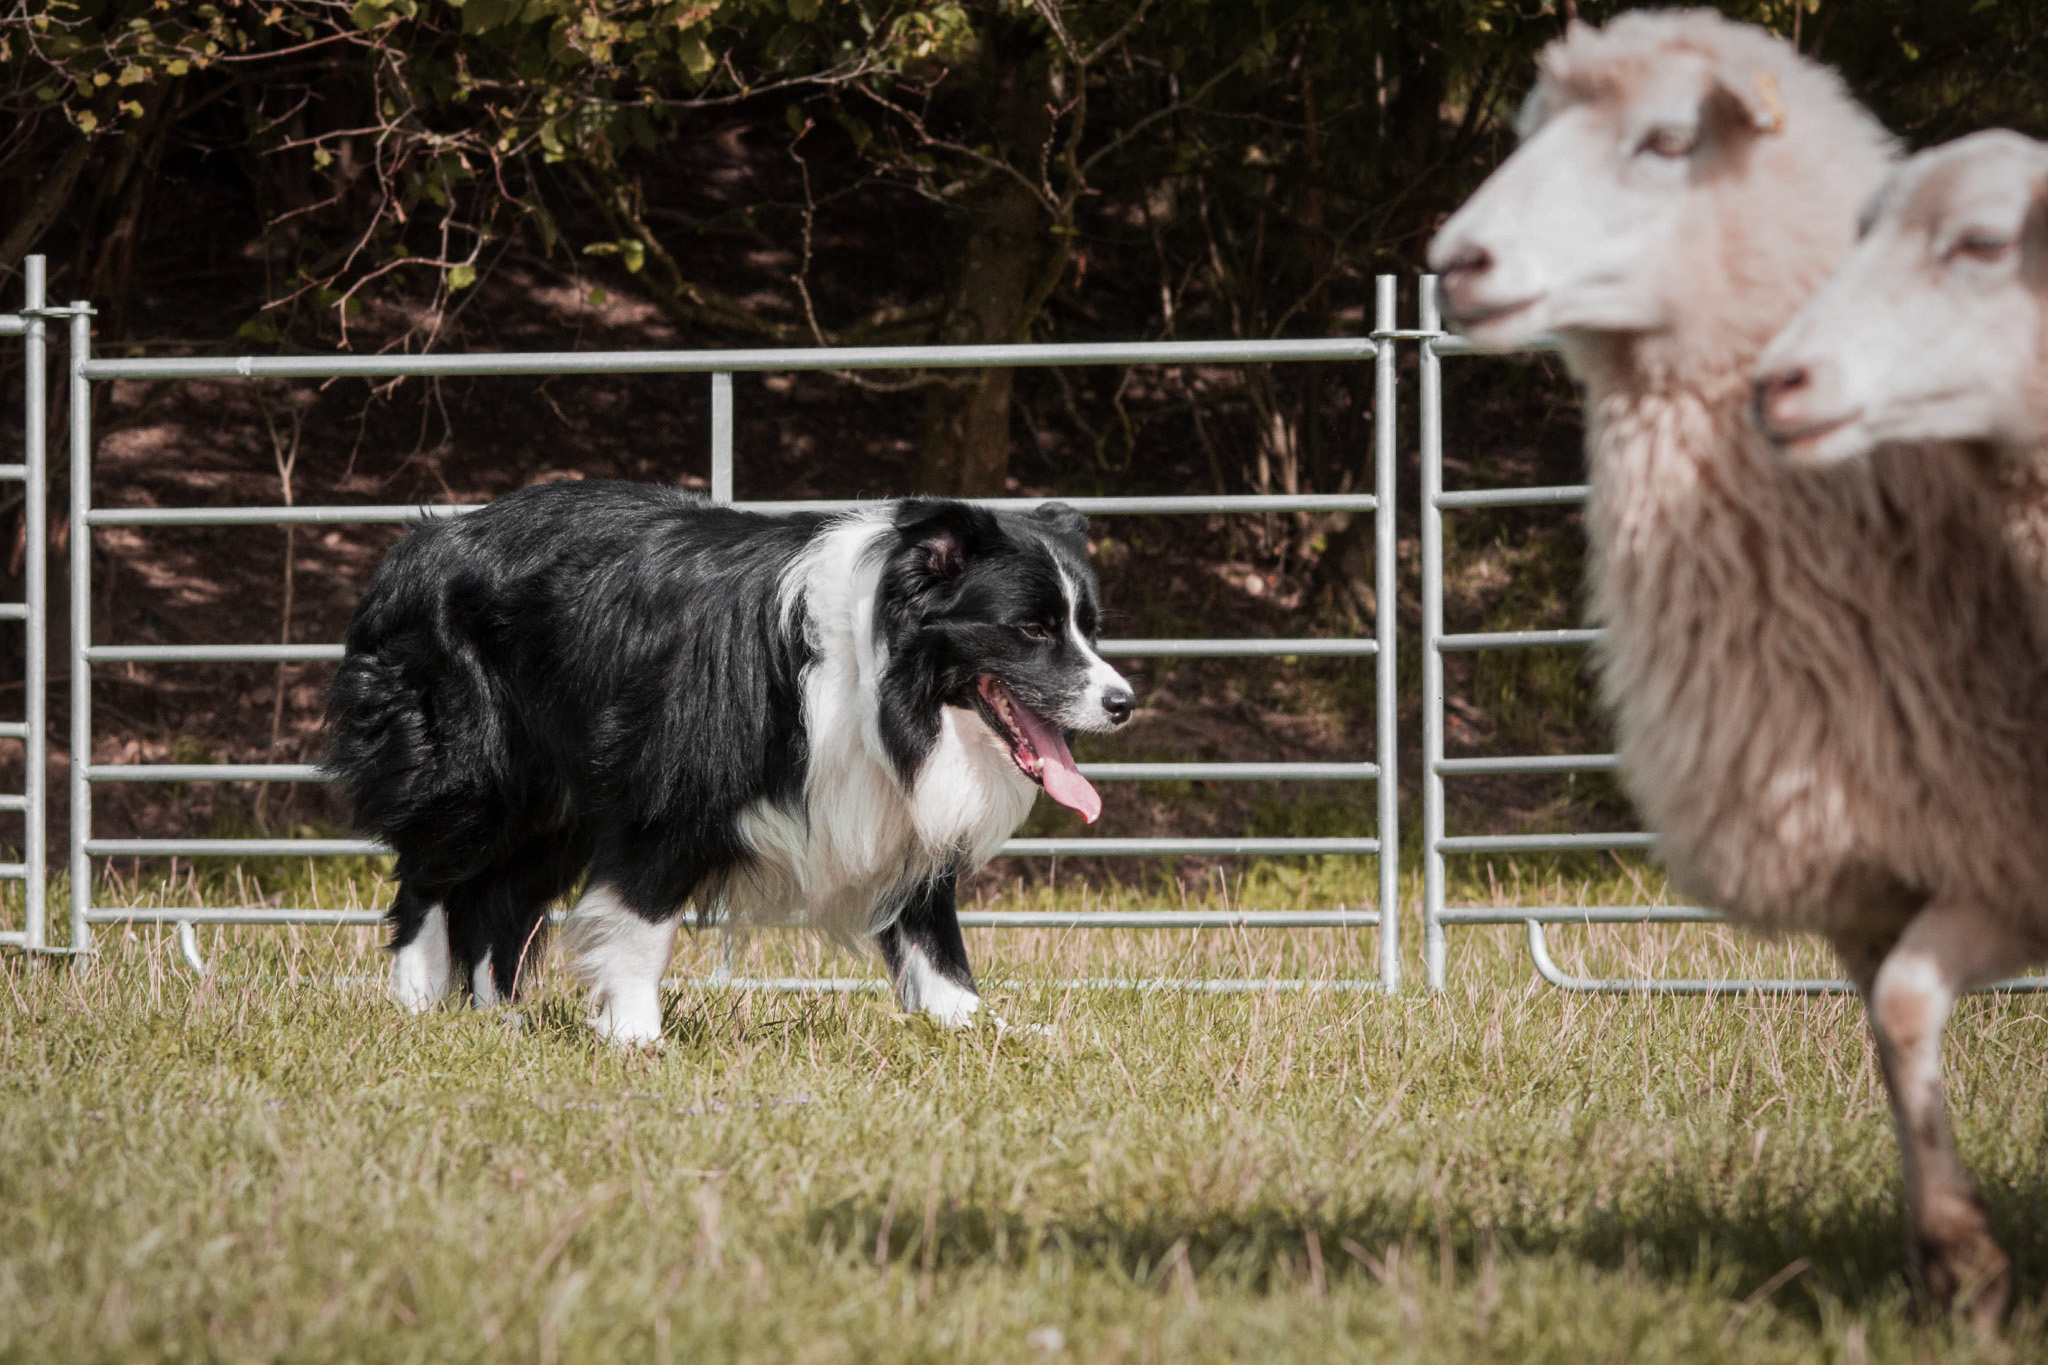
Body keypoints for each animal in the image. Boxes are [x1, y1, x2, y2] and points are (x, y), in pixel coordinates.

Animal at [333, 482, 1138, 1047]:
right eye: (1030, 630)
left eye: (1090, 629)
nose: (1123, 702)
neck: (885, 680)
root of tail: (423, 540)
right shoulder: (670, 787)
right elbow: (642, 920)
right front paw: (635, 1036)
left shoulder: (895, 810)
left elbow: (933, 939)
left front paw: (985, 1027)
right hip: (476, 767)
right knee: (430, 873)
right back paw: (417, 999)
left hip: (553, 809)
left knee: (500, 897)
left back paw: (496, 1016)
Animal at [1425, 7, 2048, 1326]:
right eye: (1527, 126)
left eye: (1667, 140)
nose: (1455, 263)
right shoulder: (1892, 871)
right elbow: (1895, 1019)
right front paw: (1955, 1264)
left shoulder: (1993, 845)